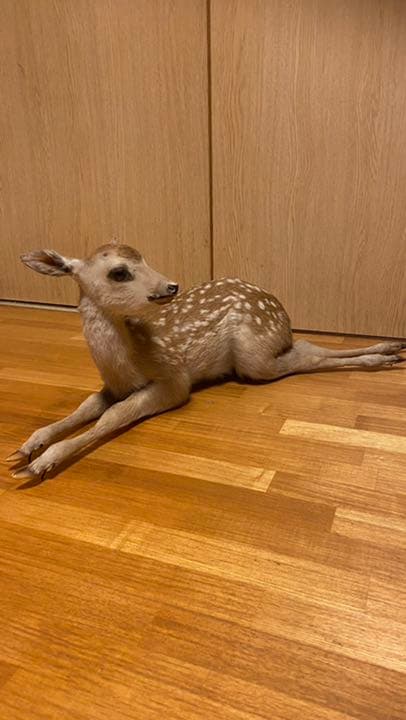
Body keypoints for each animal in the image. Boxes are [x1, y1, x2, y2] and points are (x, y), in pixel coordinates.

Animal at [7, 242, 405, 481]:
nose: (171, 286)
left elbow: (114, 416)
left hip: (254, 355)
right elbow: (85, 407)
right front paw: (26, 448)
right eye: (119, 272)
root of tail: (284, 317)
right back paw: (389, 351)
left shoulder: (174, 380)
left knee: (306, 352)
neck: (128, 364)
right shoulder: (111, 386)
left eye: (145, 258)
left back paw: (384, 354)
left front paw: (42, 463)